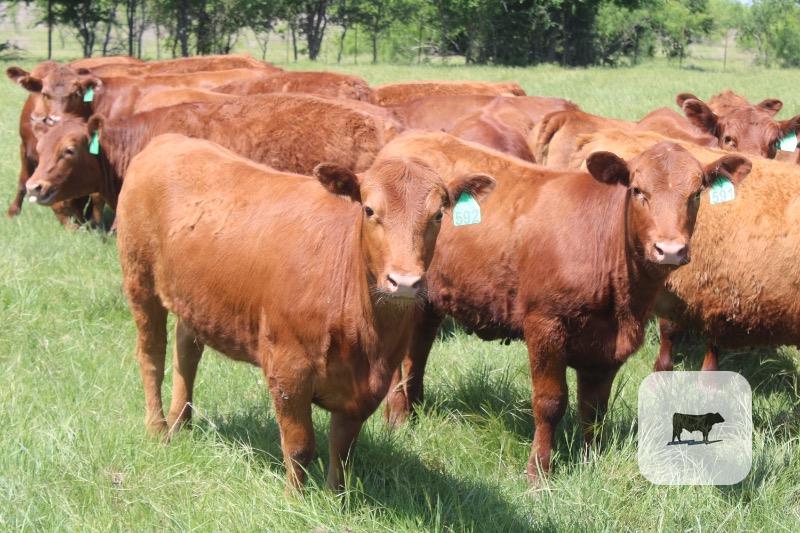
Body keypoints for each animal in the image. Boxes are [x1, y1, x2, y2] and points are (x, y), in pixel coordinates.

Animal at [116, 133, 495, 490]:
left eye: (438, 215)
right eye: (369, 210)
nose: (403, 282)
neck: (365, 334)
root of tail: (169, 140)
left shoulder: (369, 385)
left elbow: (342, 449)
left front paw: (335, 497)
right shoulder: (288, 371)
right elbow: (299, 446)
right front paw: (294, 500)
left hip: (194, 299)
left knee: (187, 349)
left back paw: (181, 422)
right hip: (140, 280)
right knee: (152, 354)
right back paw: (158, 428)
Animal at [375, 131, 750, 482]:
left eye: (696, 193)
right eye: (638, 191)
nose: (669, 249)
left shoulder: (610, 345)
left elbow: (594, 408)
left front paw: (591, 462)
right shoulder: (544, 324)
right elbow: (550, 403)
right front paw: (539, 471)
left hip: (430, 298)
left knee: (418, 350)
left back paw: (414, 407)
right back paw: (396, 418)